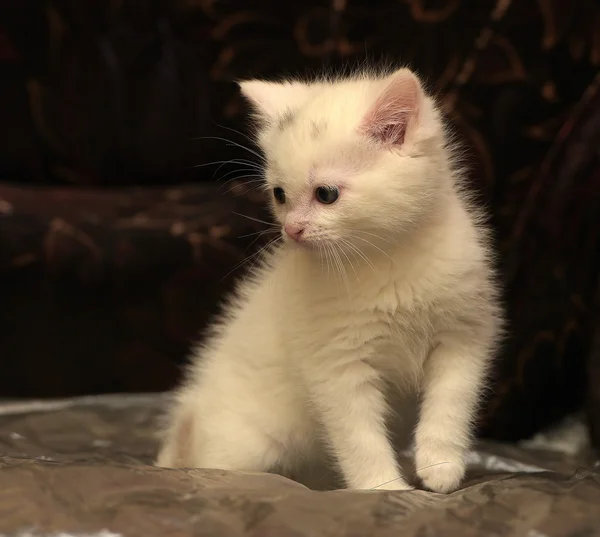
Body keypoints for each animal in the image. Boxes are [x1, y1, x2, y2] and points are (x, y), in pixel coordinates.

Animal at [156, 68, 502, 494]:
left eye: (326, 194)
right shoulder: (337, 364)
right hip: (244, 445)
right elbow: (359, 438)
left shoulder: (463, 336)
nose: (292, 230)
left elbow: (451, 402)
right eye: (279, 194)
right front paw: (385, 489)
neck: (388, 258)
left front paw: (440, 465)